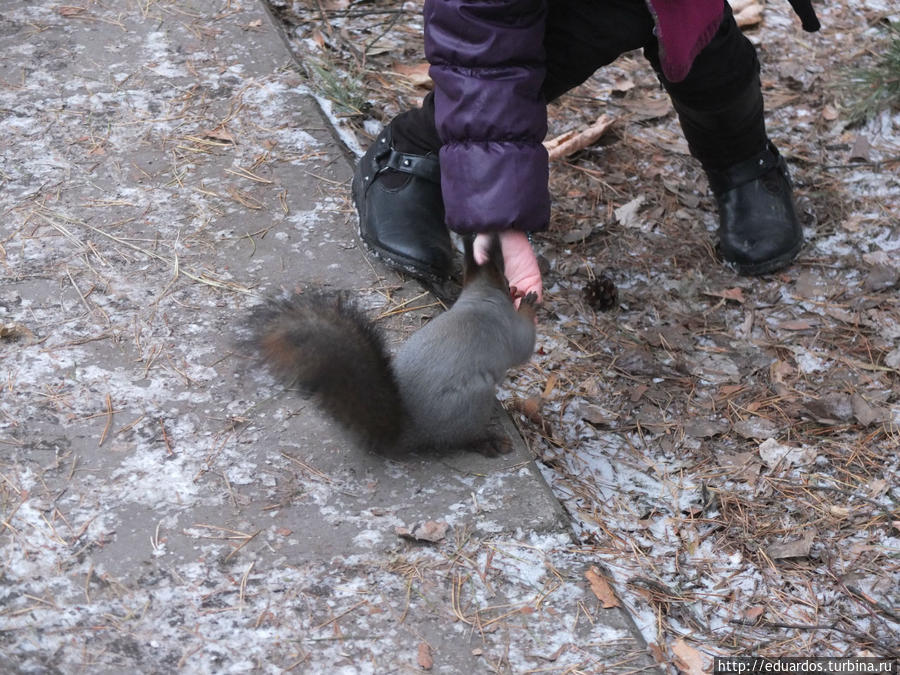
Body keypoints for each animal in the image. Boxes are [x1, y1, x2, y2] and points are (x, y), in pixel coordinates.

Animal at [246, 235, 536, 456]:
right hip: (474, 401)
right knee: (462, 440)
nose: (513, 286)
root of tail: (412, 430)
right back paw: (489, 442)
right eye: (504, 276)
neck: (480, 296)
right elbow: (525, 346)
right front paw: (529, 304)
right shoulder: (509, 329)